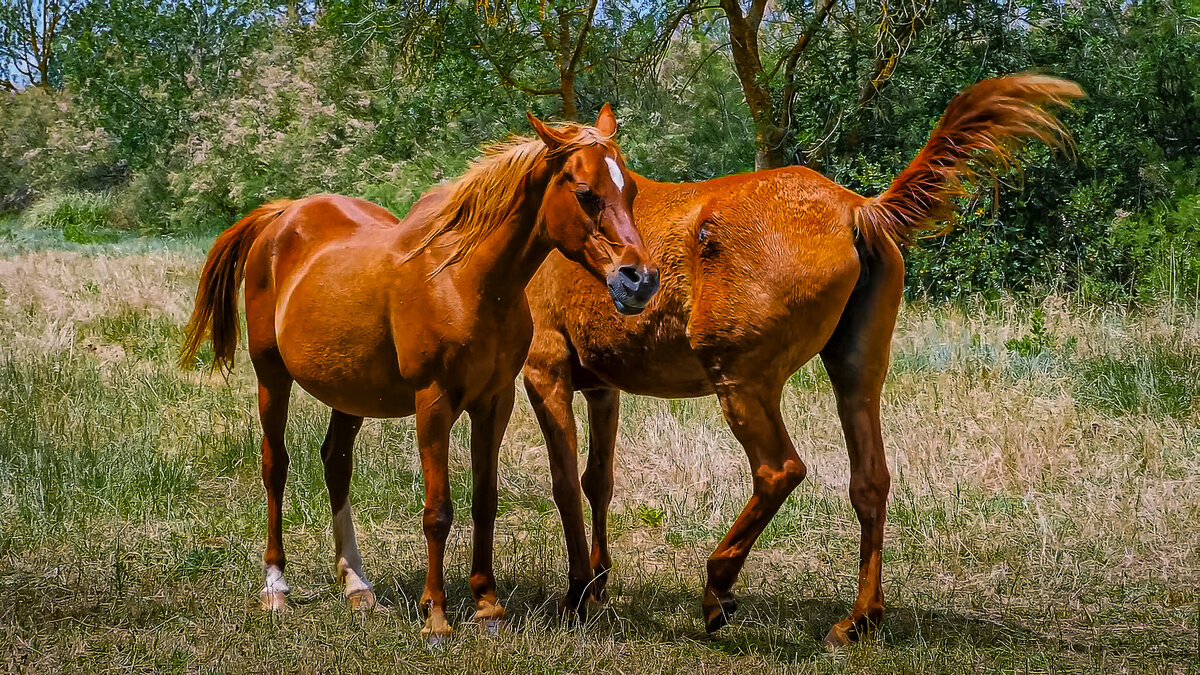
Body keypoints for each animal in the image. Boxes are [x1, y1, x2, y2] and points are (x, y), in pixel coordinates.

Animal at [182, 107, 662, 638]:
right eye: (586, 193)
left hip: (350, 393)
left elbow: (484, 501)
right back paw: (276, 586)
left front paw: (487, 605)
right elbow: (438, 510)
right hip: (271, 376)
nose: (640, 280)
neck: (467, 280)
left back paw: (357, 586)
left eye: (630, 191)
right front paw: (436, 615)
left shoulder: (494, 402)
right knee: (275, 465)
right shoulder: (432, 402)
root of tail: (282, 216)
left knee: (336, 464)